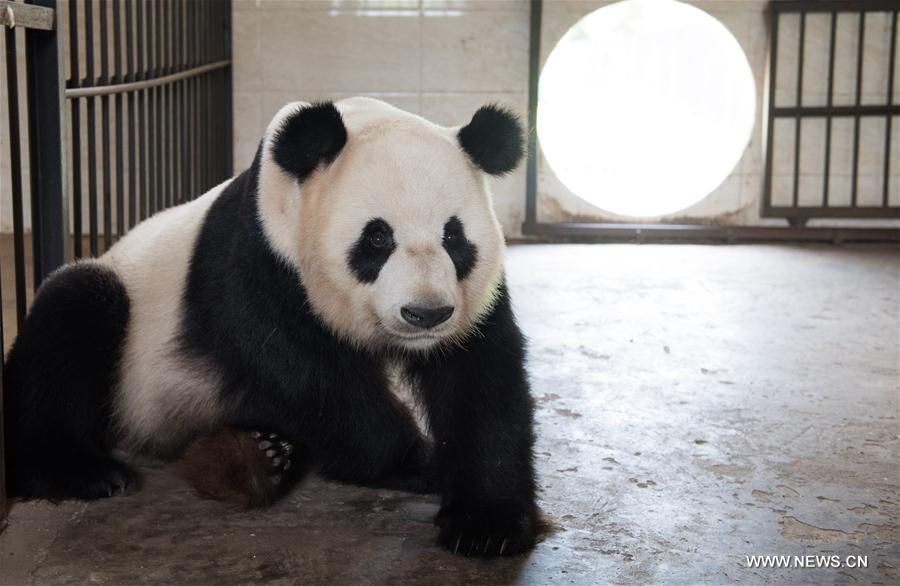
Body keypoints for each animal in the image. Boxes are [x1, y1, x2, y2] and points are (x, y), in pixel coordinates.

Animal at [3, 97, 538, 557]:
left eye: (454, 237)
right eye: (377, 238)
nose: (425, 314)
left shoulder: (470, 301)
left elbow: (480, 377)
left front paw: (487, 524)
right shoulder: (257, 260)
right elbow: (308, 377)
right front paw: (415, 461)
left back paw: (259, 457)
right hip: (130, 332)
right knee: (74, 312)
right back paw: (84, 472)